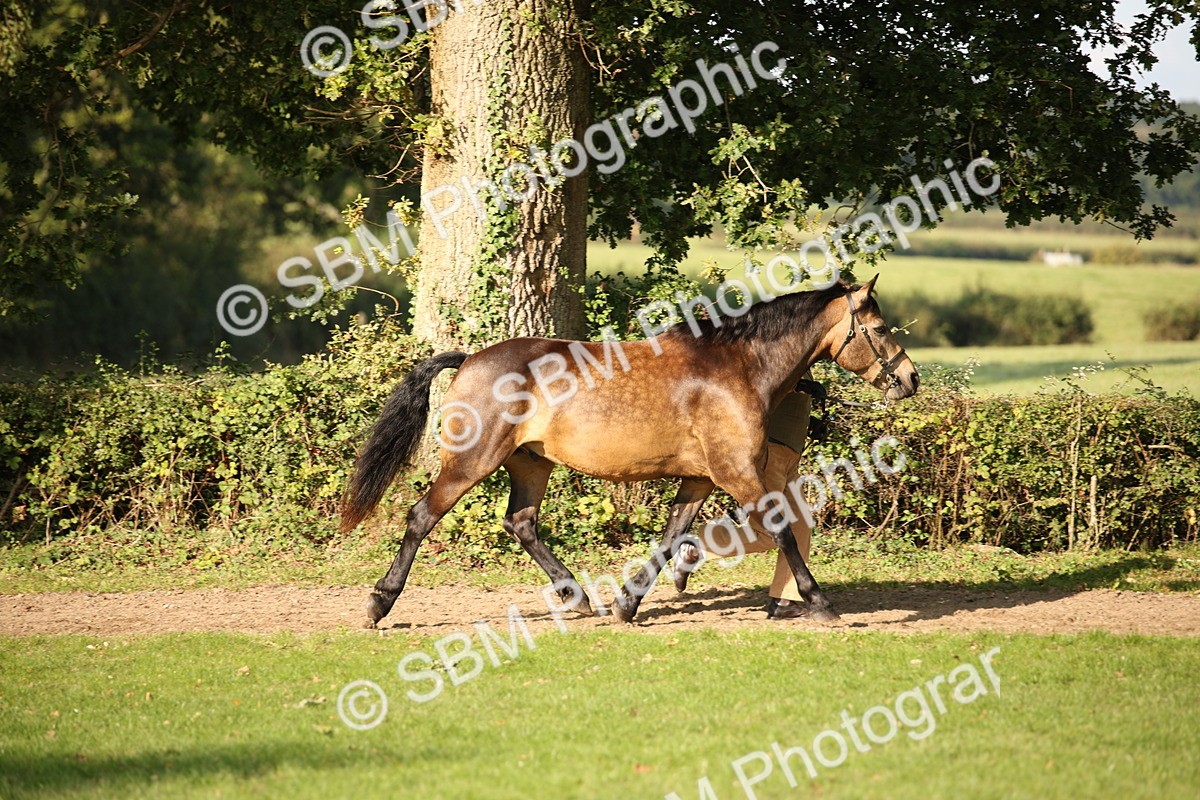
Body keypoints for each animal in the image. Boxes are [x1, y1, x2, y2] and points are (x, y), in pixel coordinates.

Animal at [341, 275, 918, 628]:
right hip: (471, 463)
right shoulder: (737, 474)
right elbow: (780, 531)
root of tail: (469, 360)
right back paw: (378, 603)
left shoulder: (700, 479)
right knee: (422, 516)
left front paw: (628, 601)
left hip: (531, 462)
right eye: (880, 327)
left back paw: (579, 597)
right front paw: (819, 601)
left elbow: (671, 538)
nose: (909, 379)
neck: (739, 368)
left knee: (521, 522)